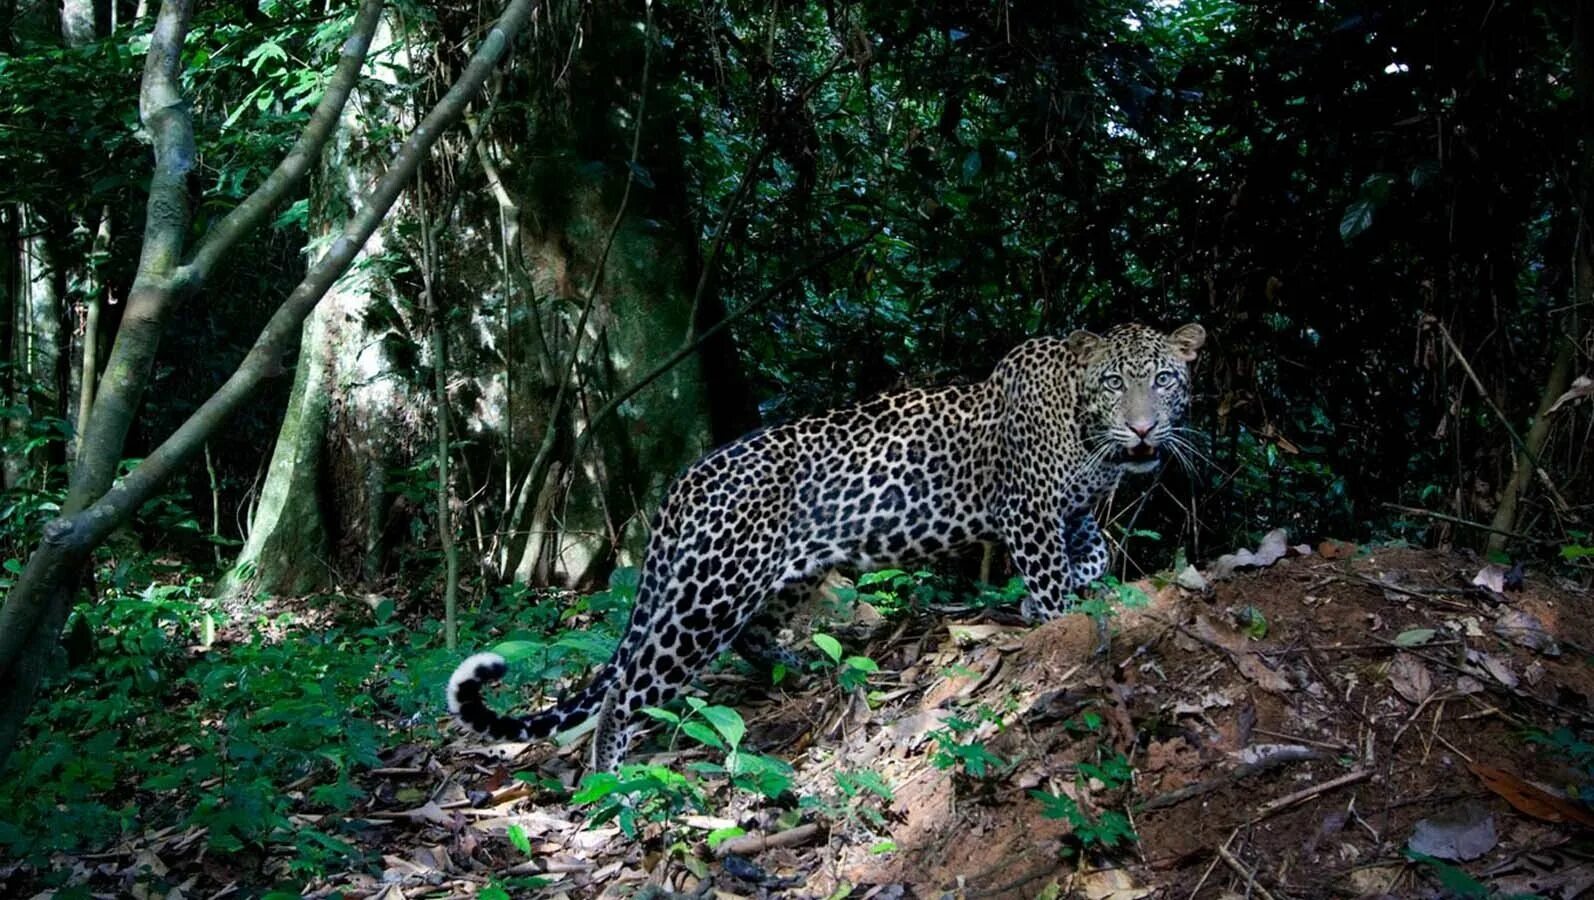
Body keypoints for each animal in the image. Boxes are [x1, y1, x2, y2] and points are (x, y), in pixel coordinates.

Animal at [452, 318, 1205, 767]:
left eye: (1165, 379)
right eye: (1115, 382)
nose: (1144, 430)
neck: (1087, 429)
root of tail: (685, 482)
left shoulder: (1073, 512)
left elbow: (1091, 552)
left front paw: (1083, 582)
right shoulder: (1028, 512)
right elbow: (1050, 579)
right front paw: (1059, 620)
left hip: (787, 575)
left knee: (754, 637)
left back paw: (809, 666)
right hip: (707, 595)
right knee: (630, 686)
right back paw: (609, 784)